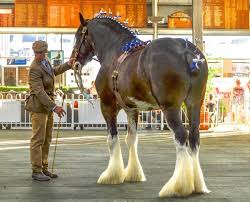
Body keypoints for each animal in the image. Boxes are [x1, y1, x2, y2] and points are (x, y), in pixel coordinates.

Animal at [71, 13, 210, 197]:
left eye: (78, 36)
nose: (74, 62)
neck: (114, 50)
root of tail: (187, 51)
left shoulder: (107, 105)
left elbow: (112, 139)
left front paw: (112, 175)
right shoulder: (132, 109)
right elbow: (131, 139)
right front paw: (133, 174)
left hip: (171, 108)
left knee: (181, 137)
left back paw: (178, 187)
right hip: (194, 104)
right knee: (194, 138)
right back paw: (197, 185)